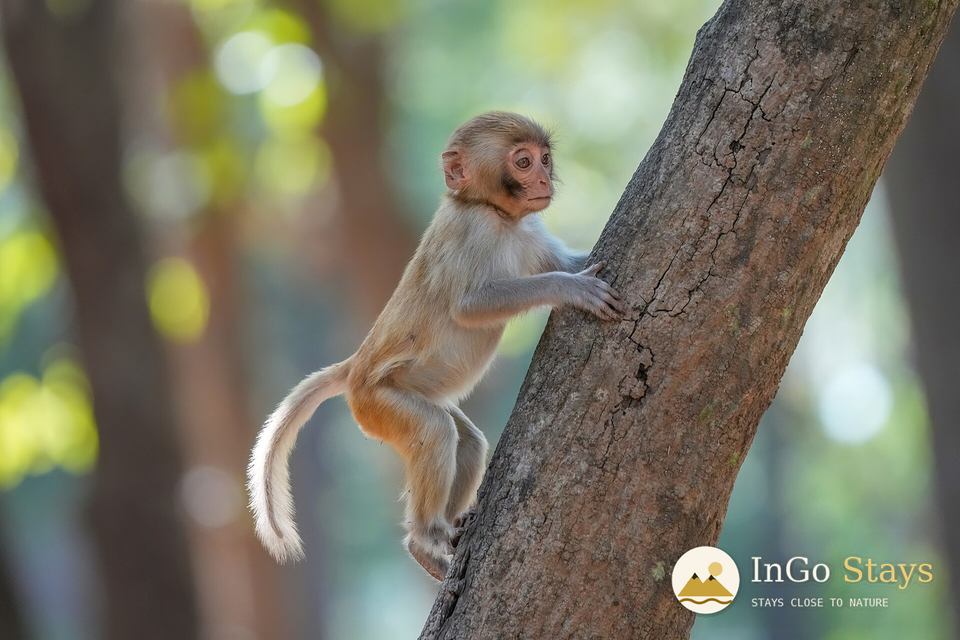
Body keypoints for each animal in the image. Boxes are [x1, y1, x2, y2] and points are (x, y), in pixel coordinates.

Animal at [248, 111, 627, 581]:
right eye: (523, 162)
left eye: (544, 158)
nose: (544, 179)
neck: (491, 212)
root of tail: (355, 367)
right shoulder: (474, 231)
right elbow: (470, 305)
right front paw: (571, 289)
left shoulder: (529, 230)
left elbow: (572, 260)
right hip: (379, 403)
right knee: (434, 431)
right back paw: (425, 537)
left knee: (467, 442)